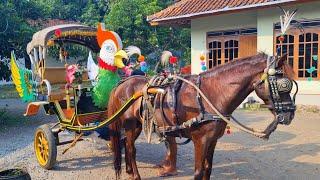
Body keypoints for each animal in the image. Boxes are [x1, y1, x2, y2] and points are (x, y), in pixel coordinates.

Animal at [107, 52, 296, 179]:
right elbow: (198, 172)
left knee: (127, 145)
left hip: (137, 125)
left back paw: (129, 170)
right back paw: (135, 175)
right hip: (131, 125)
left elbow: (208, 168)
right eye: (284, 84)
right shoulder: (201, 140)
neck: (211, 94)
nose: (290, 115)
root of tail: (122, 84)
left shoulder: (212, 140)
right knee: (131, 148)